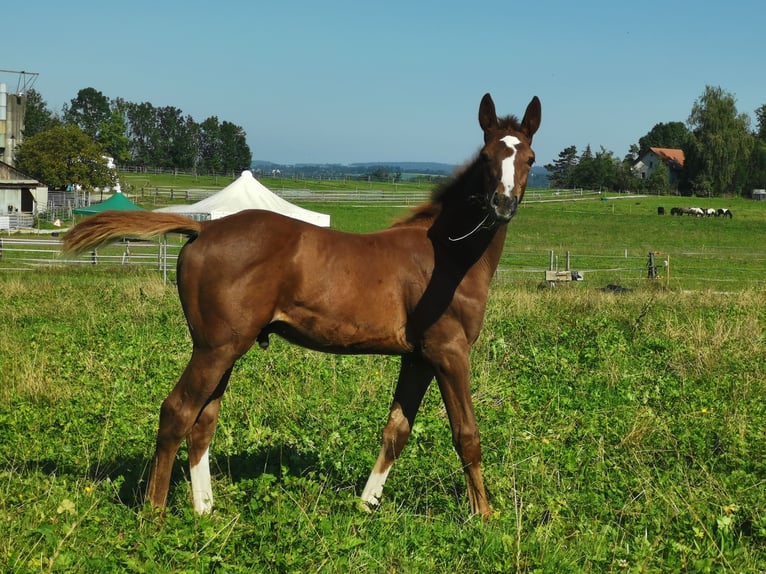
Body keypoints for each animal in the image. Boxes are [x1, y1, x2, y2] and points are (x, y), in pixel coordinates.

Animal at [63, 92, 541, 519]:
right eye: (487, 157)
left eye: (530, 159)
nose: (502, 204)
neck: (447, 255)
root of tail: (203, 230)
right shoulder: (449, 352)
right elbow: (467, 434)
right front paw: (484, 515)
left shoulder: (418, 358)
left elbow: (396, 430)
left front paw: (365, 506)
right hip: (215, 348)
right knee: (177, 412)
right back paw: (156, 512)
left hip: (223, 348)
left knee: (203, 422)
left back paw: (204, 510)